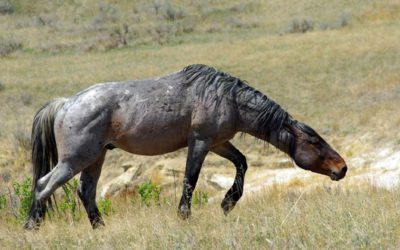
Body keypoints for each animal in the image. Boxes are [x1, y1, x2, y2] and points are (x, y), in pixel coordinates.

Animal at [24, 65, 346, 230]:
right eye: (314, 142)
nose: (342, 168)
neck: (227, 97)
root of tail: (65, 103)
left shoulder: (219, 143)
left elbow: (241, 163)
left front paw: (228, 202)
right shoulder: (201, 142)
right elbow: (190, 179)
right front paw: (184, 216)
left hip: (95, 157)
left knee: (85, 192)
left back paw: (100, 228)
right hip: (75, 160)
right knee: (43, 185)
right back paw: (31, 227)